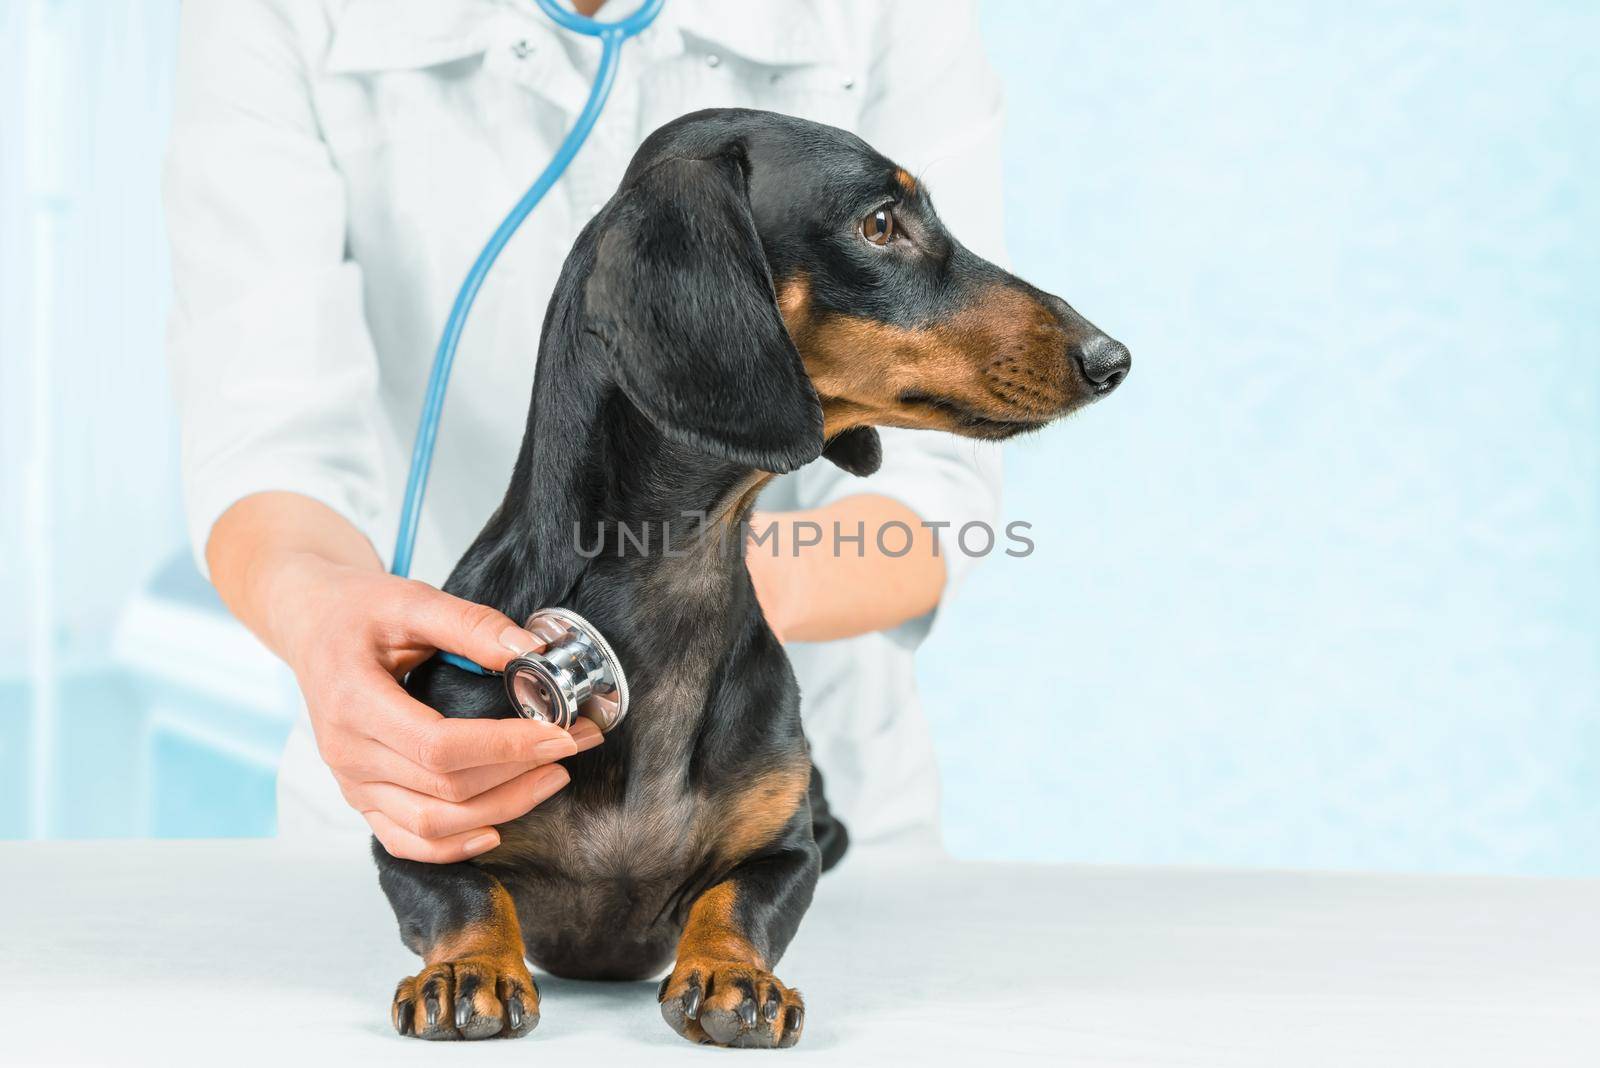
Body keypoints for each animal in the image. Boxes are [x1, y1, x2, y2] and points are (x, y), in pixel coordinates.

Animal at [376, 106, 1132, 1042]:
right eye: (880, 224)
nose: (1113, 357)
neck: (672, 592)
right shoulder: (415, 823)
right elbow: (465, 893)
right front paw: (468, 966)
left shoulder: (786, 851)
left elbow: (736, 902)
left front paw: (735, 975)